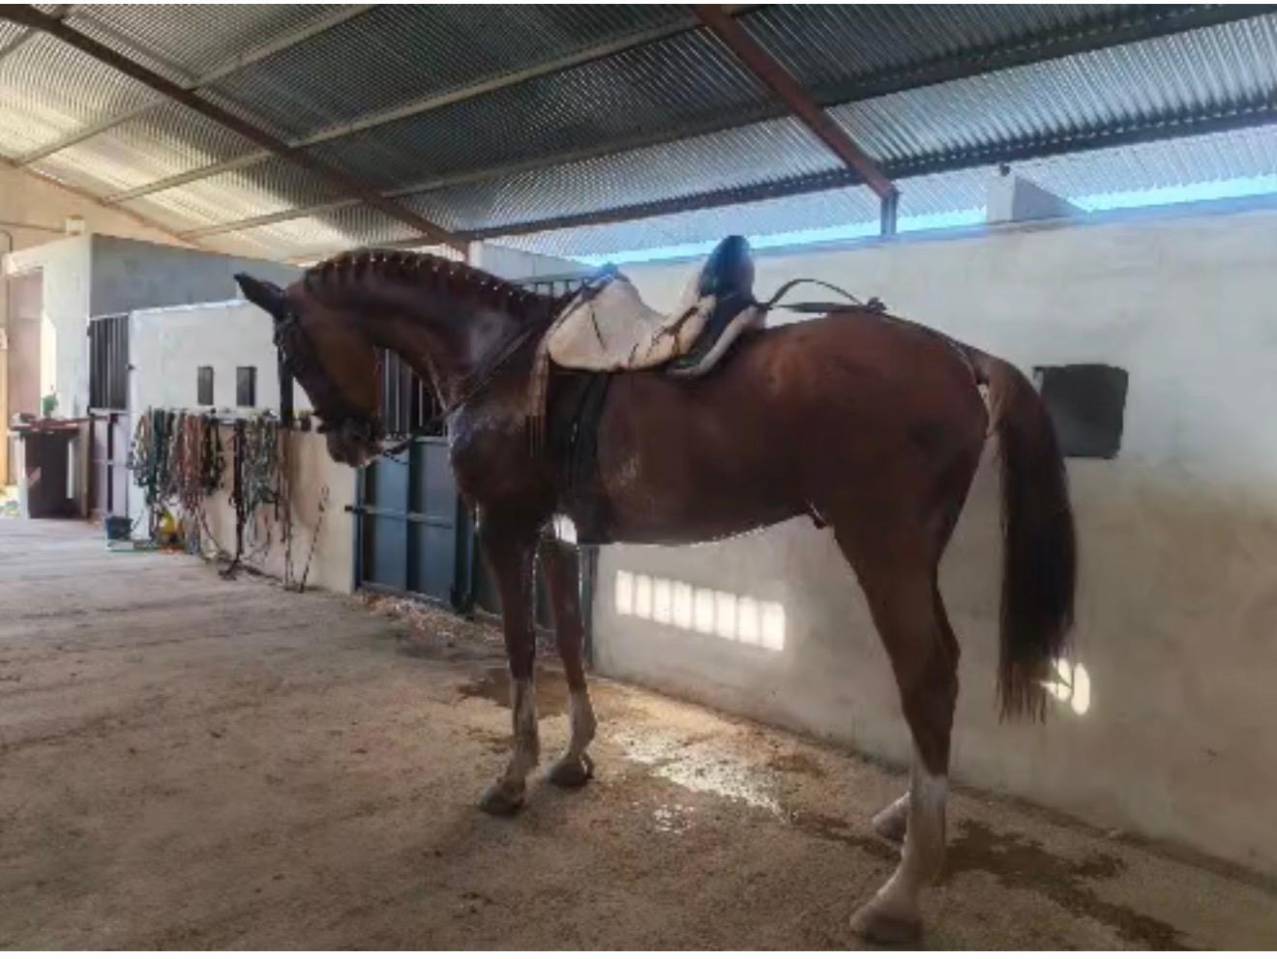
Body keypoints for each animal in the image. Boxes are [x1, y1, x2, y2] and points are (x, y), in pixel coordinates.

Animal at [234, 247, 1075, 943]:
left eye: (290, 346)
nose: (347, 441)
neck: (497, 357)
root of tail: (960, 355)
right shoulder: (553, 533)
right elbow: (568, 637)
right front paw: (573, 756)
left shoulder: (502, 528)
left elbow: (521, 648)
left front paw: (511, 778)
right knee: (941, 670)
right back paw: (905, 817)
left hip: (884, 548)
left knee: (926, 675)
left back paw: (899, 891)